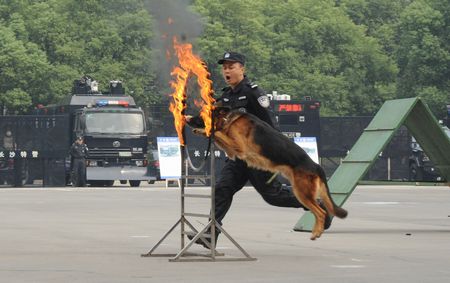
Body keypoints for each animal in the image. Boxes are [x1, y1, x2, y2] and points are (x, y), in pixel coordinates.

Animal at [192, 107, 348, 241]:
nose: (188, 118)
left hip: (302, 192)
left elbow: (217, 133)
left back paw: (317, 231)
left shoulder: (238, 146)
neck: (228, 118)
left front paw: (206, 130)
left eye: (202, 114)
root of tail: (316, 165)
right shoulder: (233, 150)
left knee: (320, 212)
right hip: (299, 191)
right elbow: (217, 135)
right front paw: (202, 131)